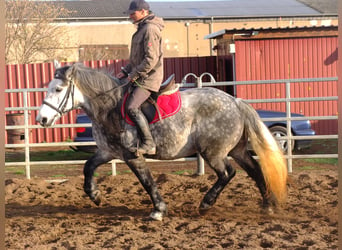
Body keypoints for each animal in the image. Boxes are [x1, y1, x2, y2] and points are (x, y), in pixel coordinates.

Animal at [36, 63, 288, 221]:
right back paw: (268, 206)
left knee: (228, 173)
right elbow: (88, 167)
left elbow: (147, 182)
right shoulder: (108, 151)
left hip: (214, 152)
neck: (110, 107)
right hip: (237, 150)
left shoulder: (132, 155)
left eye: (58, 89)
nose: (42, 119)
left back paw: (207, 203)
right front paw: (95, 195)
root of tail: (235, 102)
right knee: (255, 170)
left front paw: (158, 210)